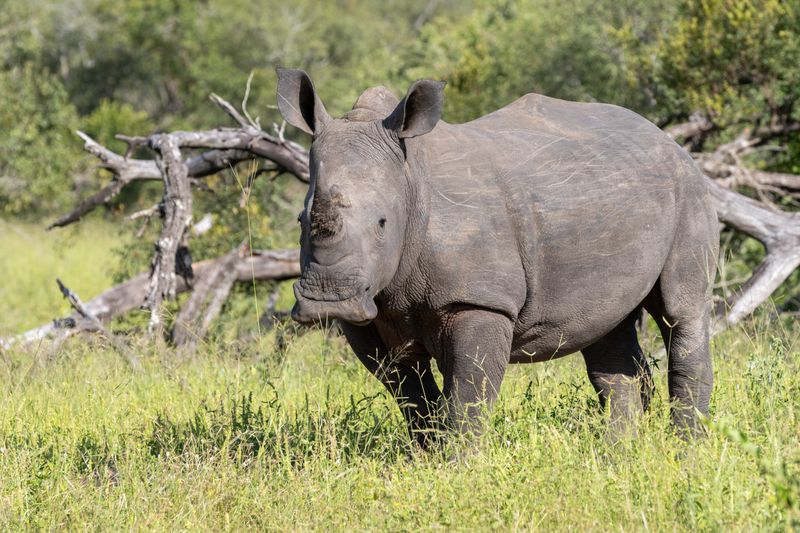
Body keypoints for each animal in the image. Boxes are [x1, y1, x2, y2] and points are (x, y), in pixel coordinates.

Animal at [277, 68, 719, 446]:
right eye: (300, 218)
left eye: (383, 223)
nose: (326, 301)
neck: (411, 181)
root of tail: (667, 138)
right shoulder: (370, 313)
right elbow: (411, 396)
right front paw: (424, 459)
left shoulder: (479, 300)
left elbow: (468, 396)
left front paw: (455, 466)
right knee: (607, 330)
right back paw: (620, 452)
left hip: (689, 190)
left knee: (681, 311)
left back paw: (686, 450)